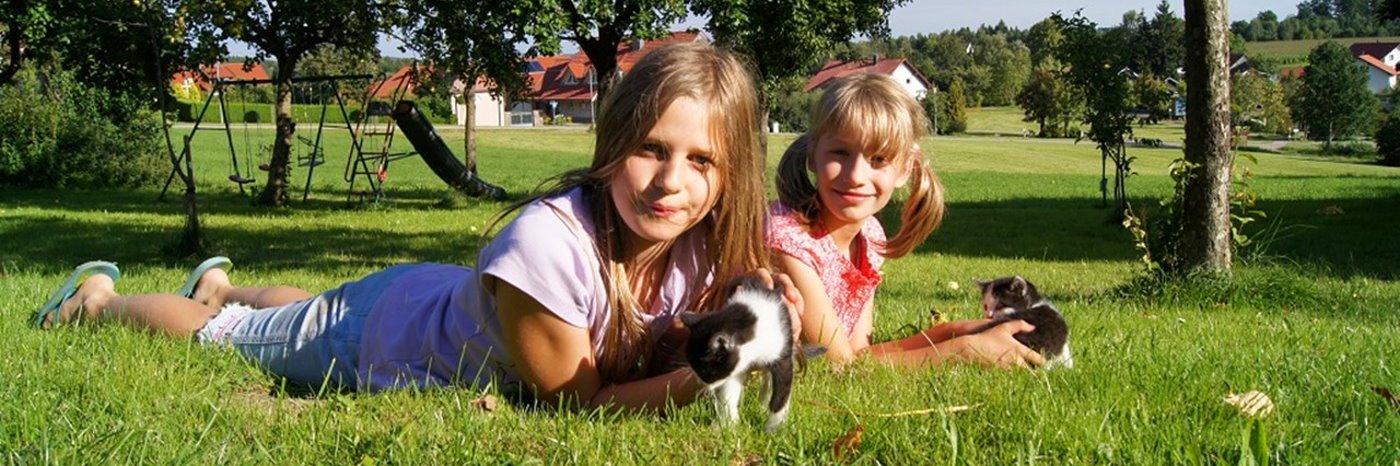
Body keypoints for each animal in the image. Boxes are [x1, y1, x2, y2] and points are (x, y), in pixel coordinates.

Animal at [680, 275, 795, 431]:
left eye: (706, 373)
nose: (702, 384)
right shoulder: (735, 368)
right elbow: (728, 391)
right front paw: (728, 425)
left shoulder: (782, 354)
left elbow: (781, 391)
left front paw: (773, 428)